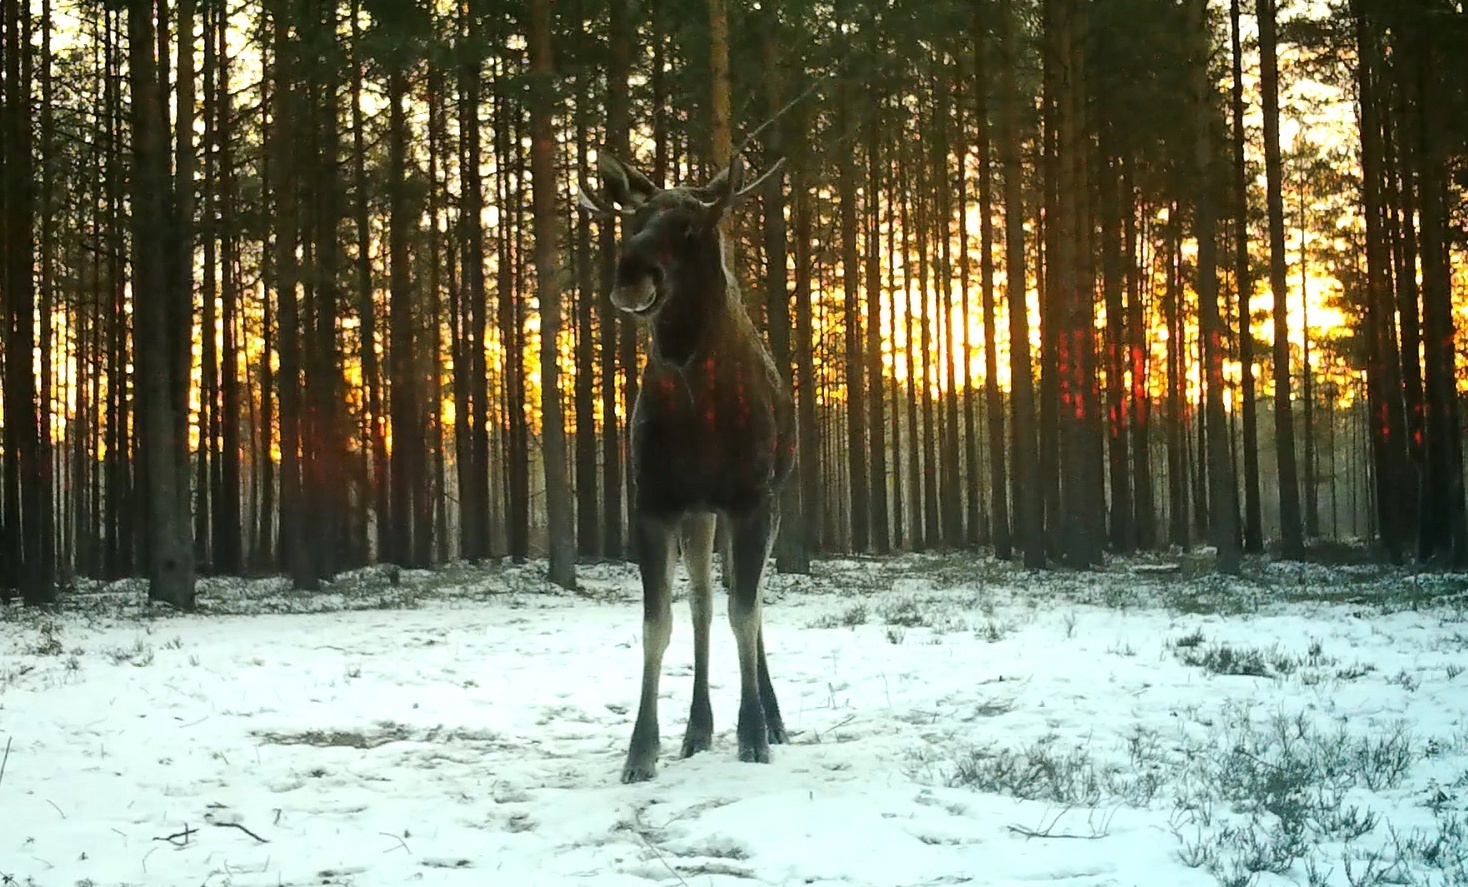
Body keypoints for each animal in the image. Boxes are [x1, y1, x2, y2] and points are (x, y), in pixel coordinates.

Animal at [578, 150, 798, 781]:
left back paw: (771, 718)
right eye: (633, 219)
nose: (631, 272)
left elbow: (745, 612)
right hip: (700, 513)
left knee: (747, 602)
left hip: (764, 500)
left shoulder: (751, 498)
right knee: (702, 601)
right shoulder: (654, 499)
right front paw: (641, 750)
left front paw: (754, 734)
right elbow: (659, 624)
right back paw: (698, 726)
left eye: (690, 226)